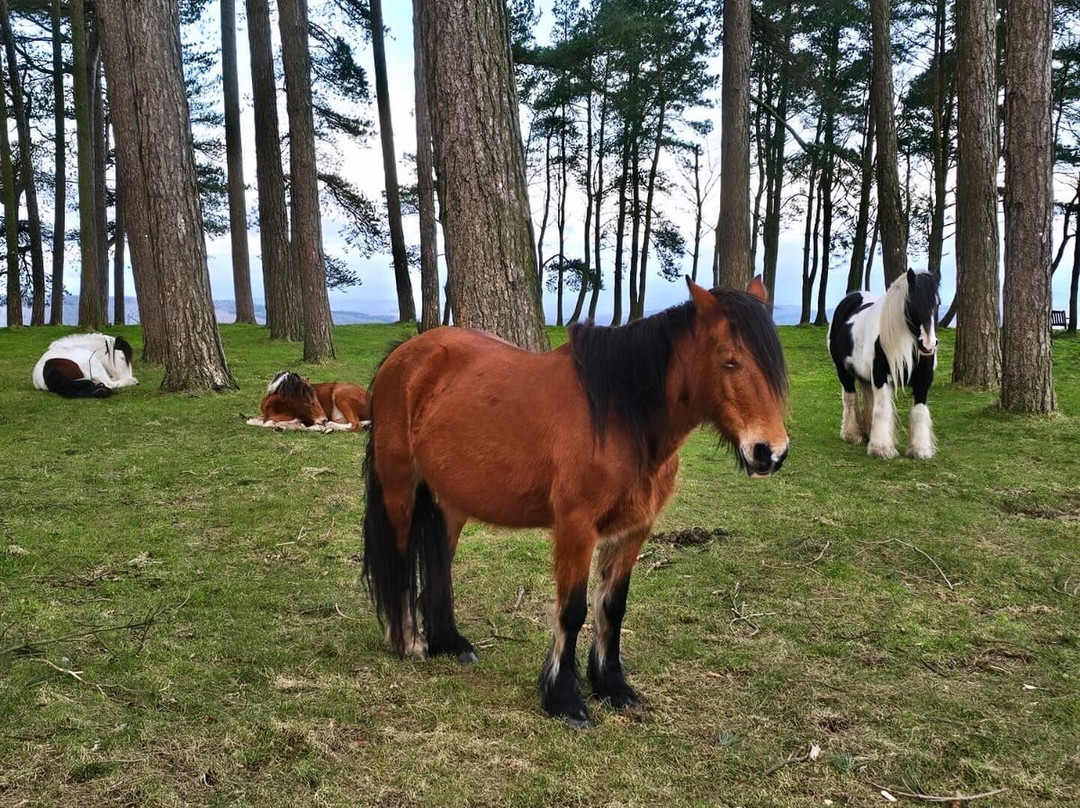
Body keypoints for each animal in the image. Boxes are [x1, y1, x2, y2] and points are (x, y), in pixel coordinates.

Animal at [358, 278, 790, 725]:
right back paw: (408, 641)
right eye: (729, 361)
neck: (620, 416)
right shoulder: (576, 529)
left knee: (440, 562)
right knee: (402, 556)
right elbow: (572, 611)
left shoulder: (632, 531)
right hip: (399, 487)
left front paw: (613, 687)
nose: (769, 452)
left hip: (452, 501)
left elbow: (612, 608)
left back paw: (450, 642)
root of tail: (404, 355)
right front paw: (564, 698)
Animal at [825, 270, 937, 458]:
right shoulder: (880, 376)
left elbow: (920, 410)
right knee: (850, 398)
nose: (928, 345)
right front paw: (881, 449)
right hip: (843, 372)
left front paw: (920, 449)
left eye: (937, 304)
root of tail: (853, 296)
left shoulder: (924, 379)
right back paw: (852, 434)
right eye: (911, 304)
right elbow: (884, 408)